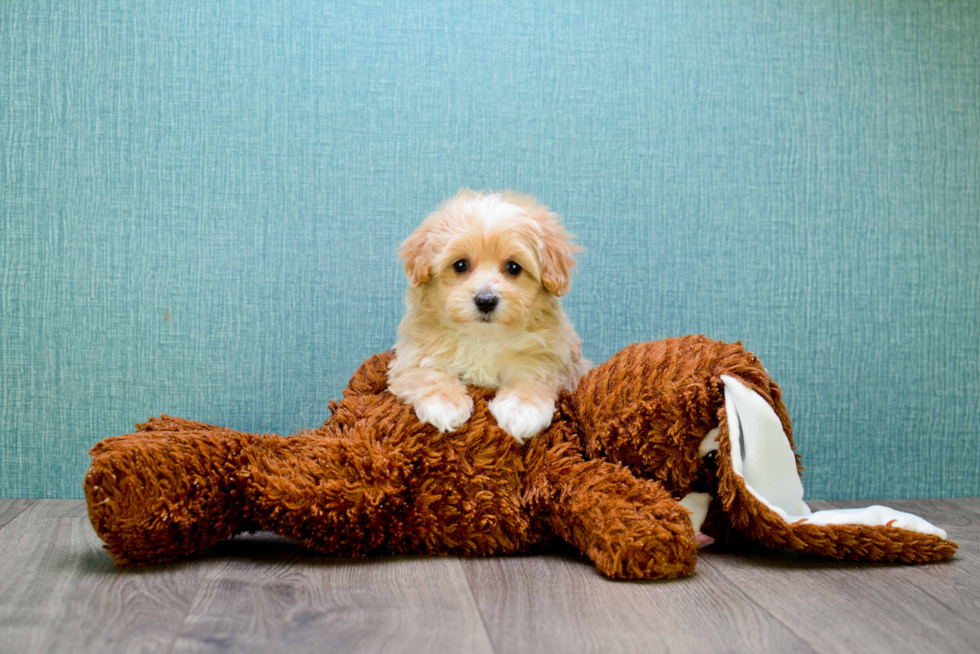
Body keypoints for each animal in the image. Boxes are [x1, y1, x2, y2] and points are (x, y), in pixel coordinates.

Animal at [388, 192, 588, 444]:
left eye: (513, 267)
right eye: (460, 265)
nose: (485, 300)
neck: (484, 337)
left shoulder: (550, 359)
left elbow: (535, 378)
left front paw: (521, 408)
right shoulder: (414, 353)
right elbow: (426, 372)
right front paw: (444, 402)